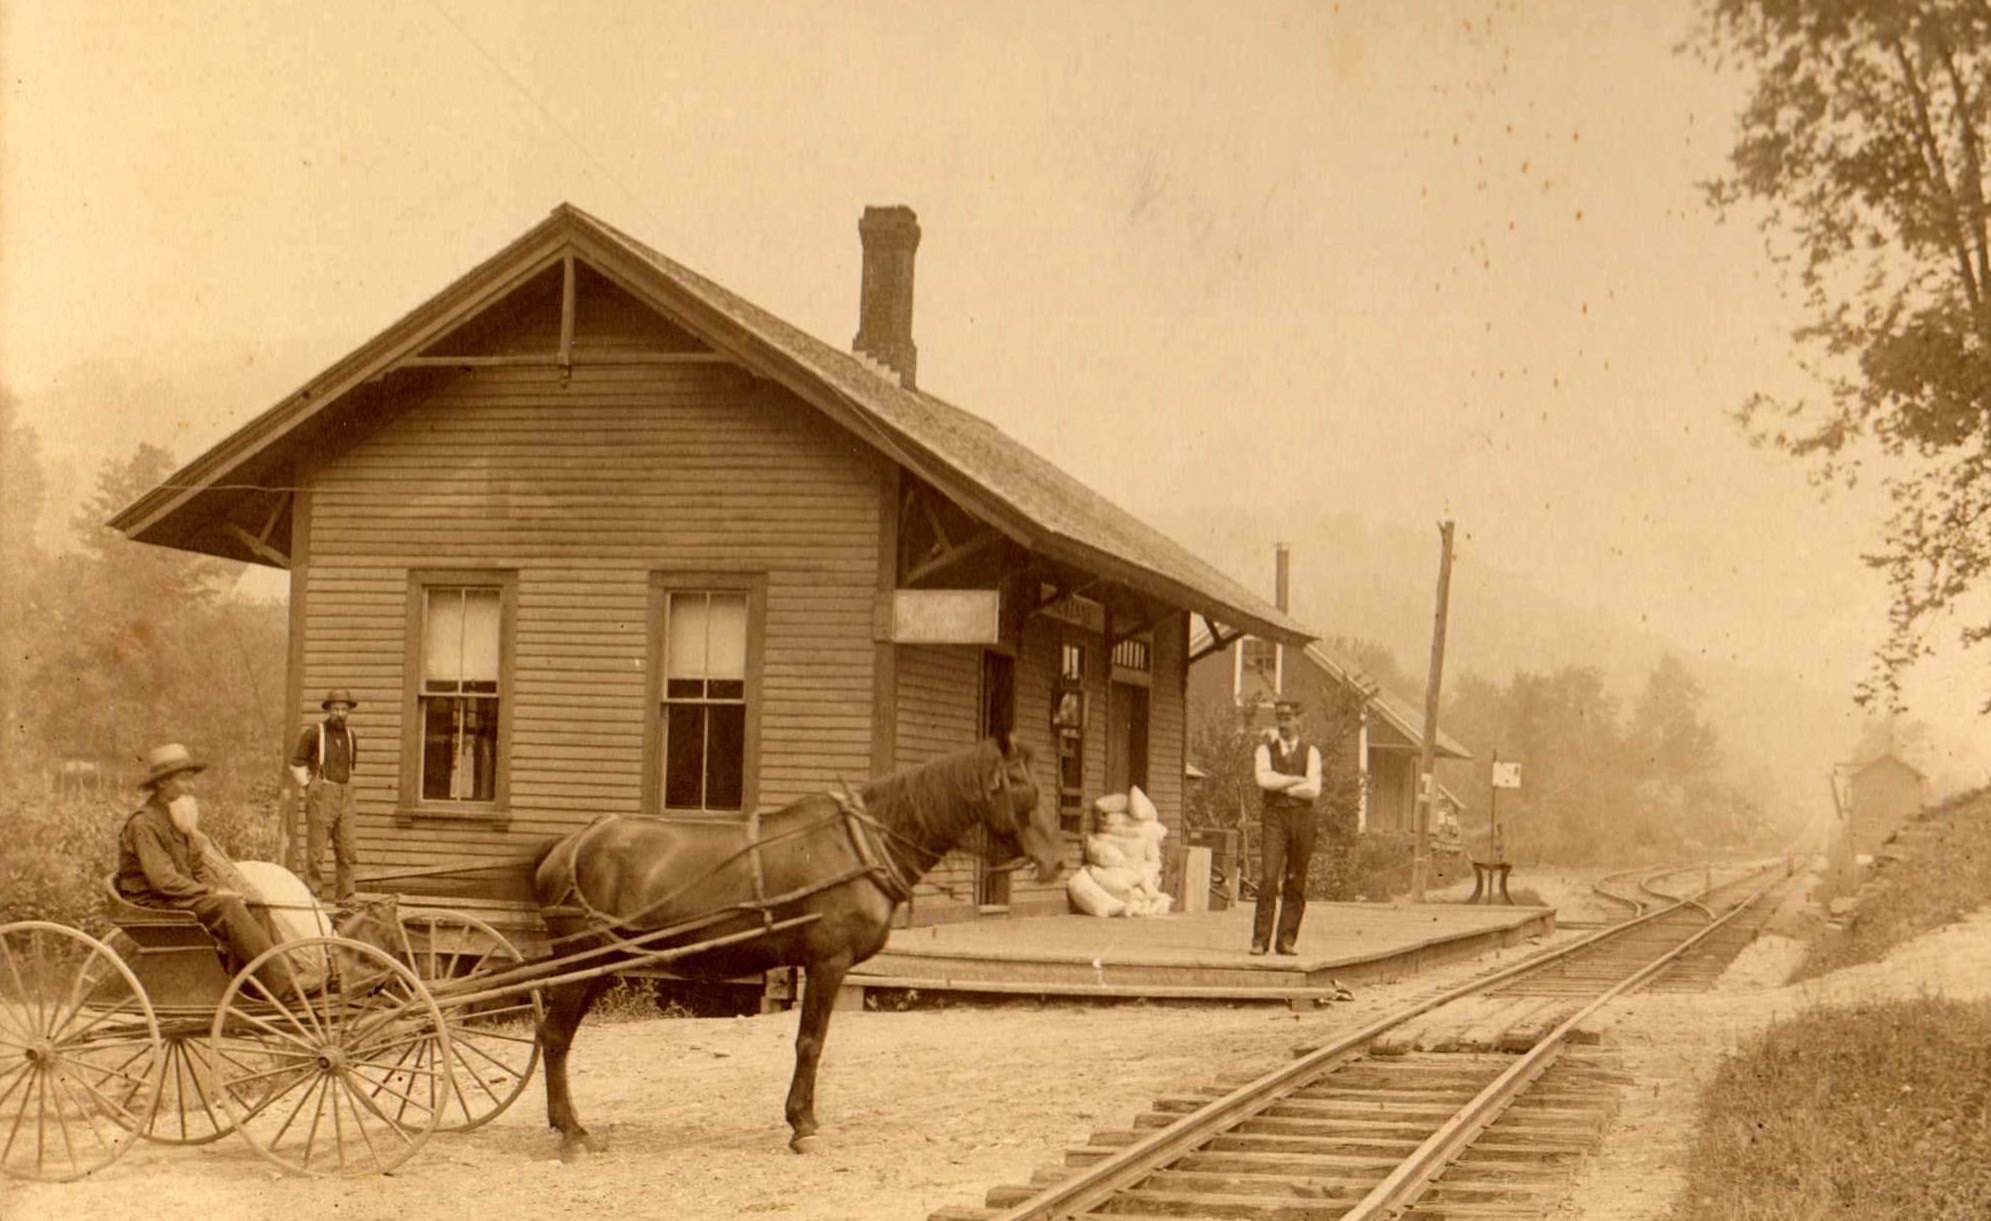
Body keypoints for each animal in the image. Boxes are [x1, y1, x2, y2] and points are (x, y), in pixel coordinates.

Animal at [525, 729, 1059, 1155]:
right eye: (1018, 783)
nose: (1055, 861)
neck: (859, 845)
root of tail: (568, 847)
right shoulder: (828, 962)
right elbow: (810, 1042)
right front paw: (803, 1124)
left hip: (599, 965)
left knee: (559, 1037)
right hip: (580, 962)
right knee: (554, 1037)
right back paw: (571, 1133)